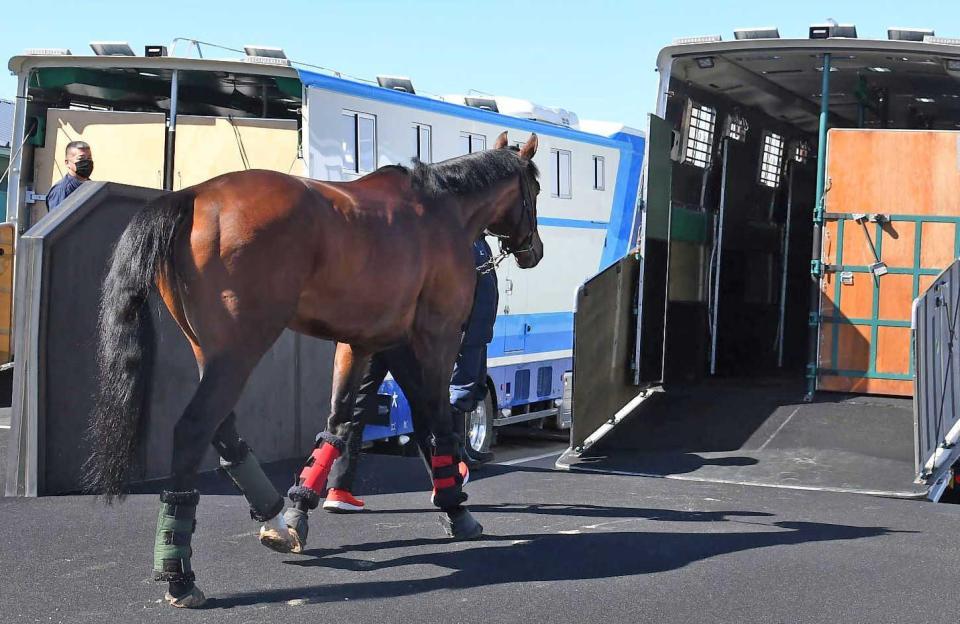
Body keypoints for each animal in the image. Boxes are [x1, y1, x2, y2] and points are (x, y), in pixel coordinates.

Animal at [84, 130, 540, 604]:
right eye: (537, 188)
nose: (535, 249)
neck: (439, 209)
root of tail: (193, 195)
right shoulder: (438, 337)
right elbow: (437, 420)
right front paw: (455, 509)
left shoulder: (362, 344)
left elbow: (340, 424)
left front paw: (299, 509)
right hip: (239, 350)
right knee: (194, 428)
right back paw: (179, 573)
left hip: (209, 351)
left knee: (222, 428)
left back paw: (272, 518)